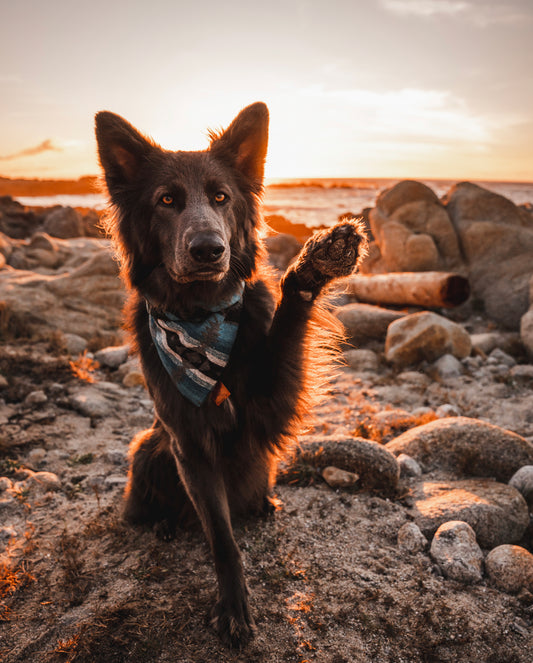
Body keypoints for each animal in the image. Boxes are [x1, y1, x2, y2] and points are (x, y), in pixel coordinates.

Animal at [93, 104, 364, 648]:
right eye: (167, 200)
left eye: (221, 197)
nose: (208, 249)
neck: (202, 317)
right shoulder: (187, 443)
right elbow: (220, 535)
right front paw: (233, 607)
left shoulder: (269, 405)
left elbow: (291, 313)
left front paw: (318, 260)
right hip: (148, 447)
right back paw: (167, 525)